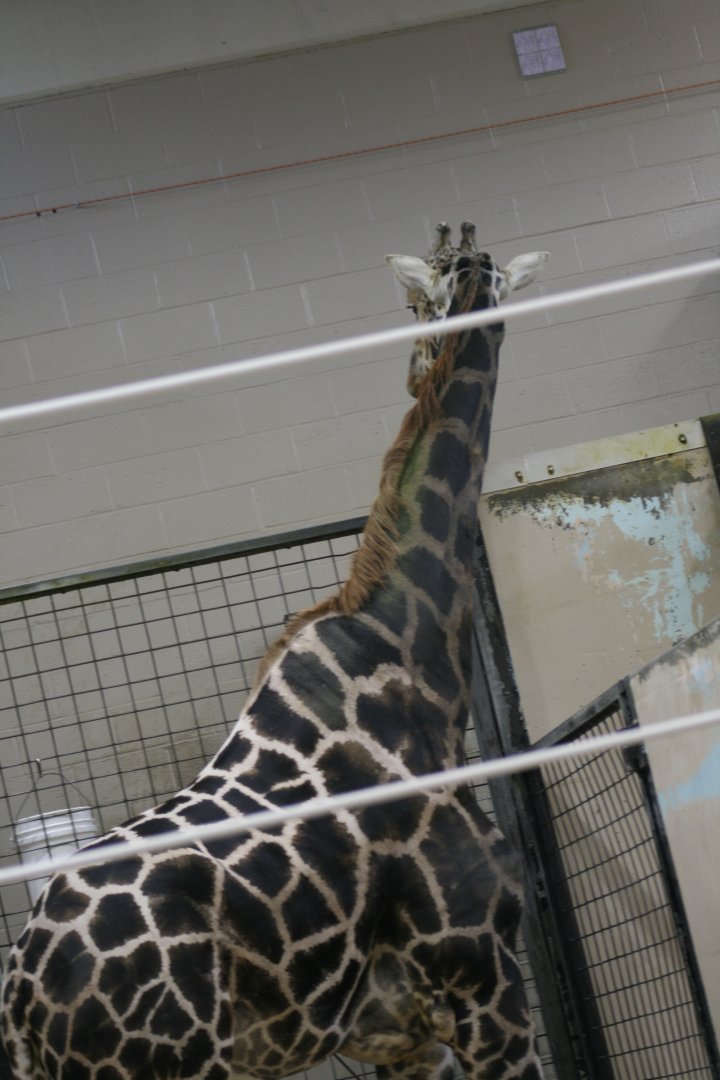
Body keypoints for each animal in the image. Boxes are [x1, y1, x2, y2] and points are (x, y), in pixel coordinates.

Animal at [1, 223, 549, 1080]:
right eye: (413, 303)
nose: (412, 367)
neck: (419, 661)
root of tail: (22, 1002)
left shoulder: (399, 1033)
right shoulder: (484, 979)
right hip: (176, 1065)